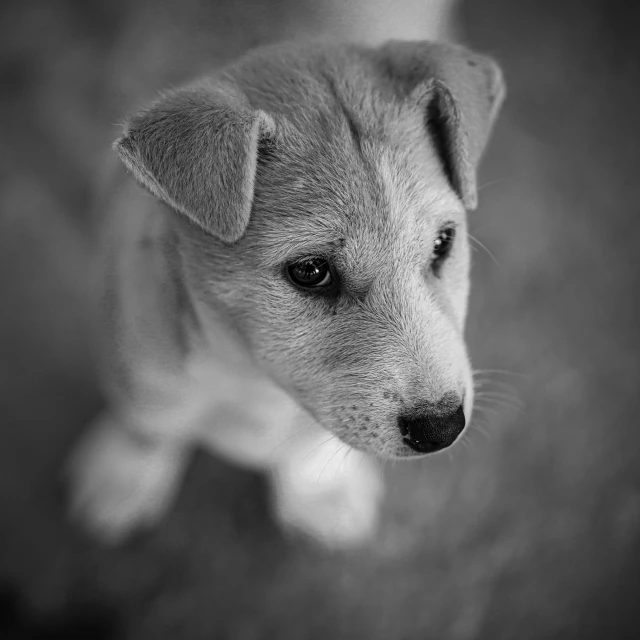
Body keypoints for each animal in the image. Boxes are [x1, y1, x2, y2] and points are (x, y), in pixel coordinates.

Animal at [69, 38, 504, 544]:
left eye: (442, 243)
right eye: (311, 271)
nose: (442, 428)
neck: (251, 375)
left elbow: (307, 446)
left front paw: (321, 493)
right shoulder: (138, 353)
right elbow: (148, 419)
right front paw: (126, 476)